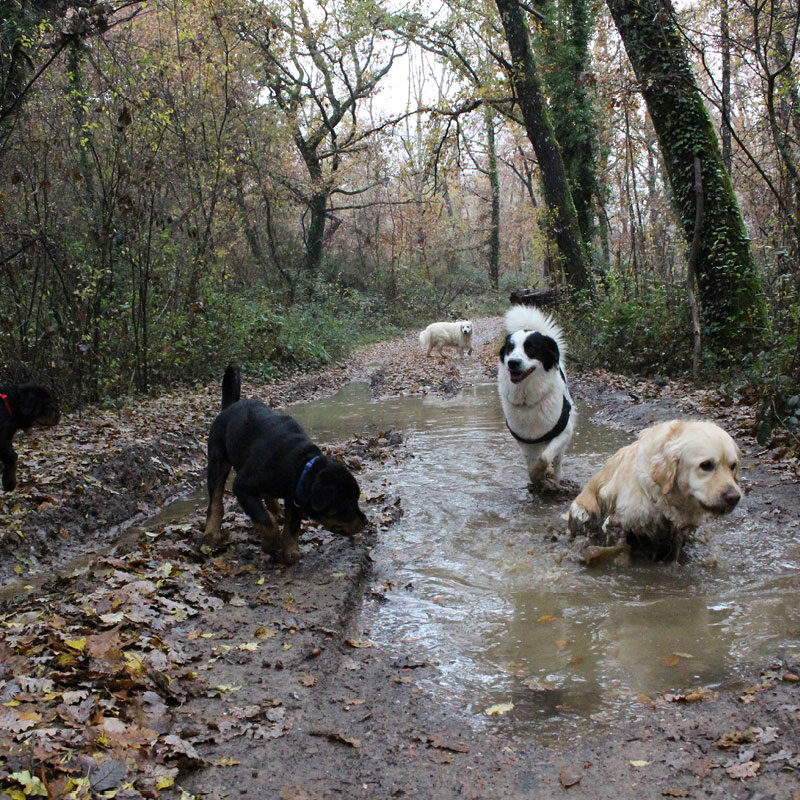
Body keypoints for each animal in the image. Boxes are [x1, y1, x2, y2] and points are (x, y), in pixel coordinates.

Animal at [206, 366, 368, 564]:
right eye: (347, 503)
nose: (365, 521)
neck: (299, 465)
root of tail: (229, 406)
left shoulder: (296, 496)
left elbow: (293, 525)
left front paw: (290, 550)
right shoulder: (242, 488)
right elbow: (265, 520)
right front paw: (271, 544)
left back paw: (276, 511)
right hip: (218, 461)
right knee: (216, 500)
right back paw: (211, 533)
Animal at [494, 308, 576, 490]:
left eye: (531, 348)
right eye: (510, 348)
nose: (512, 363)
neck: (528, 398)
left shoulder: (564, 431)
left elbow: (544, 459)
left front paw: (544, 477)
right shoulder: (524, 440)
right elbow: (531, 464)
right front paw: (537, 480)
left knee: (558, 461)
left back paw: (557, 479)